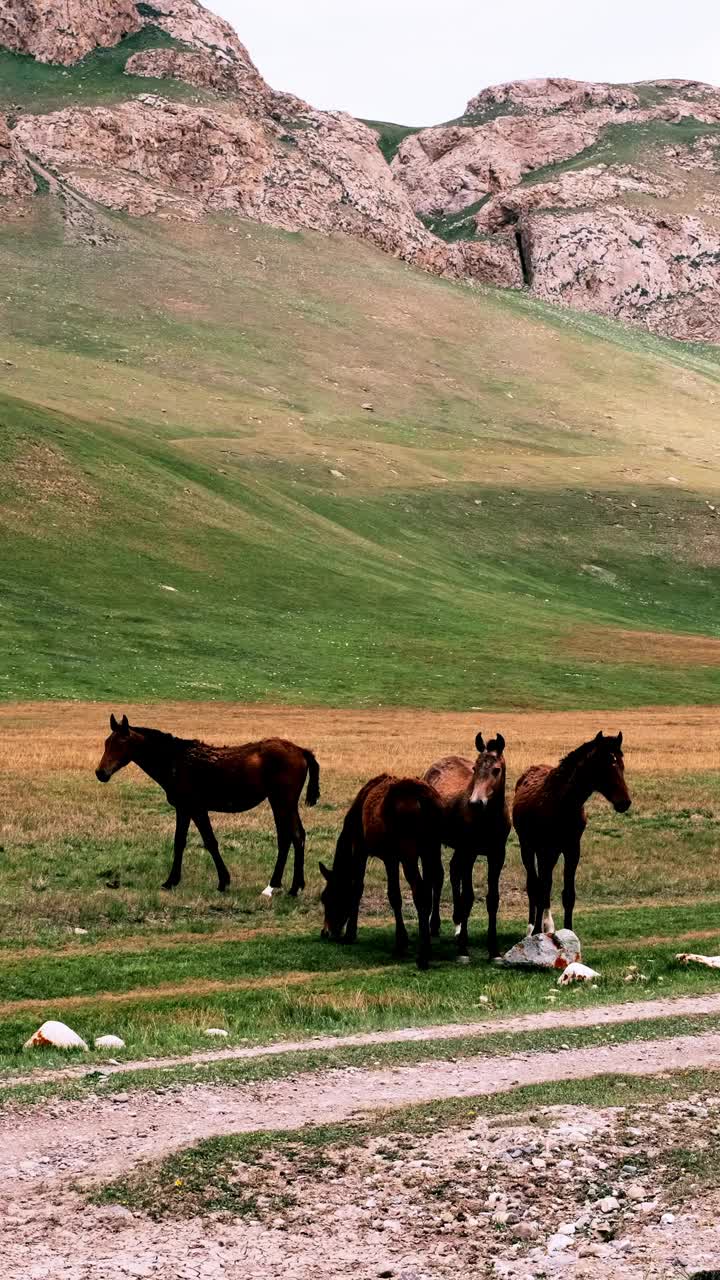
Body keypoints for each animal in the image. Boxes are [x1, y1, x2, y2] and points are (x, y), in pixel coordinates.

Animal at [95, 716, 319, 896]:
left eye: (121, 743)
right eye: (107, 742)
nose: (100, 773)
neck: (176, 761)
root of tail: (300, 751)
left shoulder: (195, 808)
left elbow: (209, 841)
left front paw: (221, 881)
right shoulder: (185, 810)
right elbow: (181, 842)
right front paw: (173, 881)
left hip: (282, 802)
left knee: (290, 837)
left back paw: (279, 887)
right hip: (283, 803)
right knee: (293, 836)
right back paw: (289, 886)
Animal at [319, 768, 443, 967]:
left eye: (327, 898)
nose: (326, 932)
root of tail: (421, 797)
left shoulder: (367, 852)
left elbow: (364, 889)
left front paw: (351, 934)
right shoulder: (393, 857)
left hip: (409, 854)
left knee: (420, 891)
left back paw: (423, 955)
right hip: (431, 848)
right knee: (435, 881)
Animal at [422, 732, 507, 962]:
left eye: (496, 769)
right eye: (475, 768)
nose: (476, 802)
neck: (488, 818)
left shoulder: (497, 855)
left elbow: (492, 899)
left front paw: (494, 950)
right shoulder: (470, 852)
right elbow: (468, 896)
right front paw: (462, 949)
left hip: (459, 849)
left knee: (452, 871)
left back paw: (458, 922)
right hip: (436, 843)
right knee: (436, 876)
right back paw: (435, 927)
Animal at [509, 732, 627, 942]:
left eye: (621, 764)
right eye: (605, 765)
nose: (625, 802)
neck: (562, 803)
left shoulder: (572, 850)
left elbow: (568, 894)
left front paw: (568, 932)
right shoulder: (544, 849)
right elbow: (541, 888)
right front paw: (538, 932)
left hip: (551, 853)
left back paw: (547, 926)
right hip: (528, 848)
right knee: (534, 885)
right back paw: (532, 928)